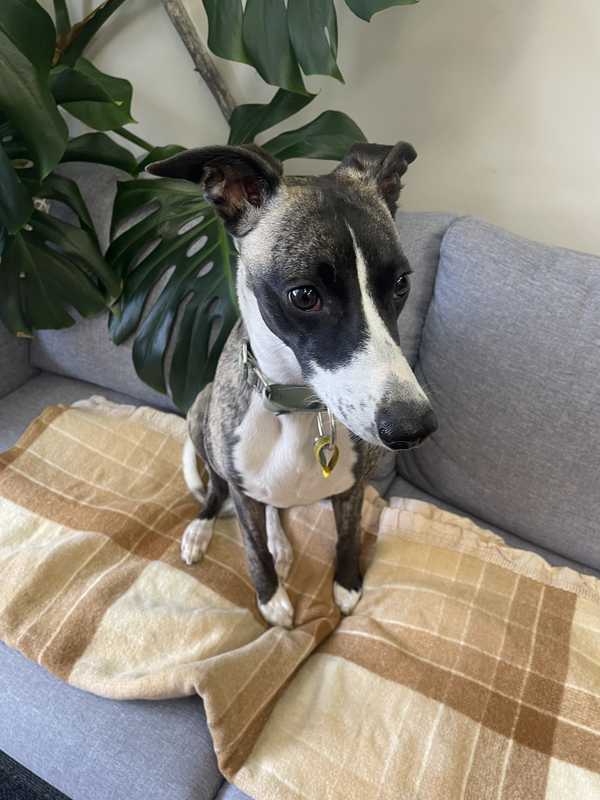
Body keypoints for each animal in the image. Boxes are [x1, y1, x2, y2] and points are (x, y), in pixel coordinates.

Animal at [148, 142, 438, 632]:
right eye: (304, 295)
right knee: (217, 489)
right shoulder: (243, 494)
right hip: (200, 411)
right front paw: (271, 599)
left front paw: (346, 584)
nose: (413, 428)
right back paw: (204, 528)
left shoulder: (352, 490)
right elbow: (253, 548)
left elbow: (346, 537)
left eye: (401, 283)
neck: (299, 410)